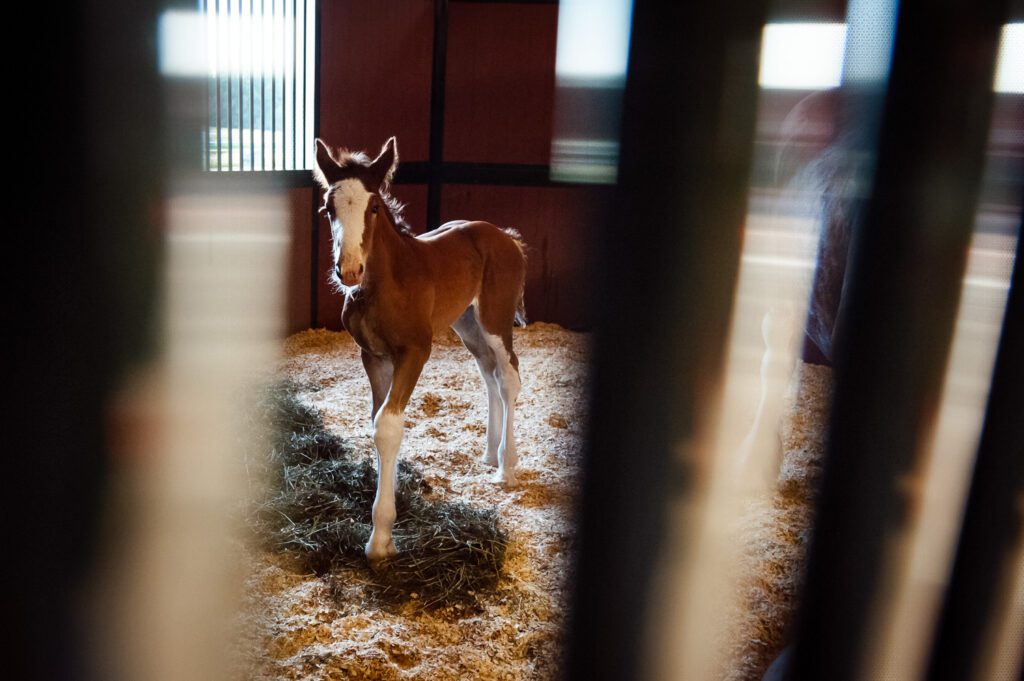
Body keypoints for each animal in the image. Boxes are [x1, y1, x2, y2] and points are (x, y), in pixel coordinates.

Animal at [313, 136, 527, 569]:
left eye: (374, 207)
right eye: (329, 208)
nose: (350, 270)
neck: (385, 283)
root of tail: (506, 236)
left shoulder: (415, 352)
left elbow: (388, 426)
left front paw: (380, 539)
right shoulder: (373, 356)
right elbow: (379, 422)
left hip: (495, 320)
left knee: (509, 376)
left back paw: (506, 466)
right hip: (467, 324)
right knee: (490, 374)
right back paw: (489, 454)